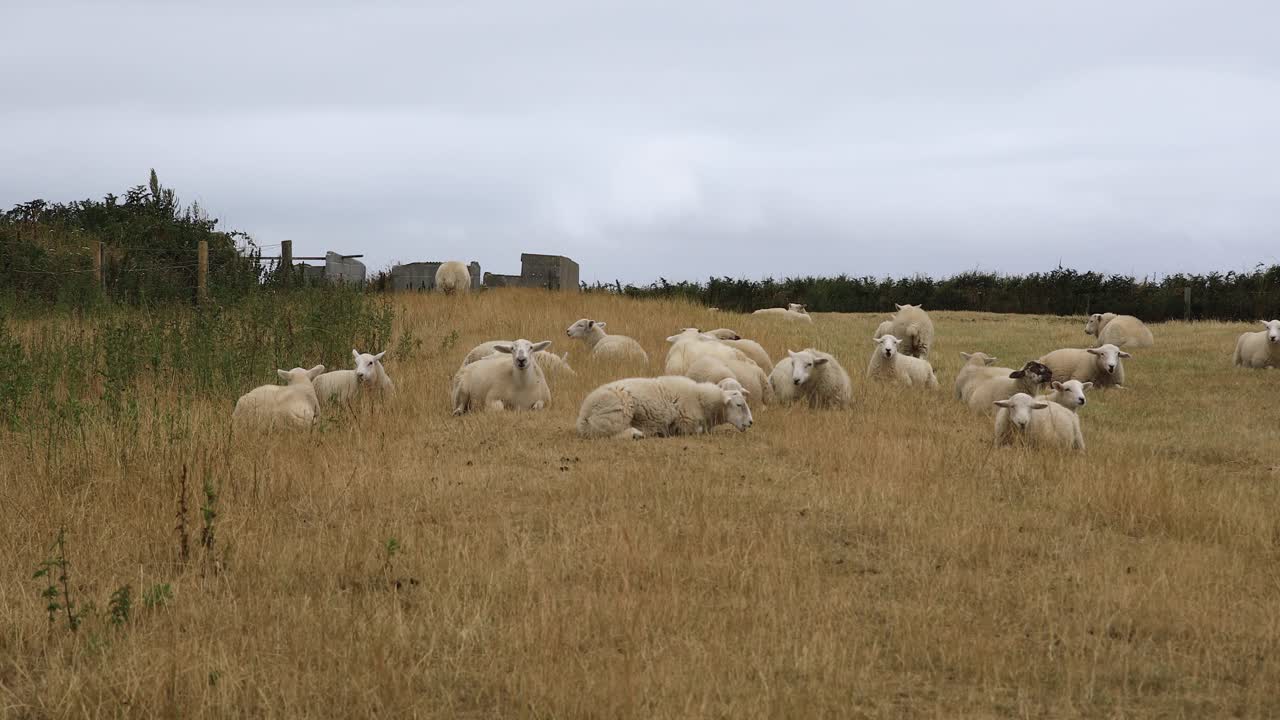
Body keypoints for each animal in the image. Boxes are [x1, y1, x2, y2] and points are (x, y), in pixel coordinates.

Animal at [576, 375, 753, 439]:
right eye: (739, 404)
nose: (751, 422)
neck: (700, 399)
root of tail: (583, 415)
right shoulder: (685, 423)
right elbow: (696, 430)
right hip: (619, 411)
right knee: (609, 434)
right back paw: (636, 434)